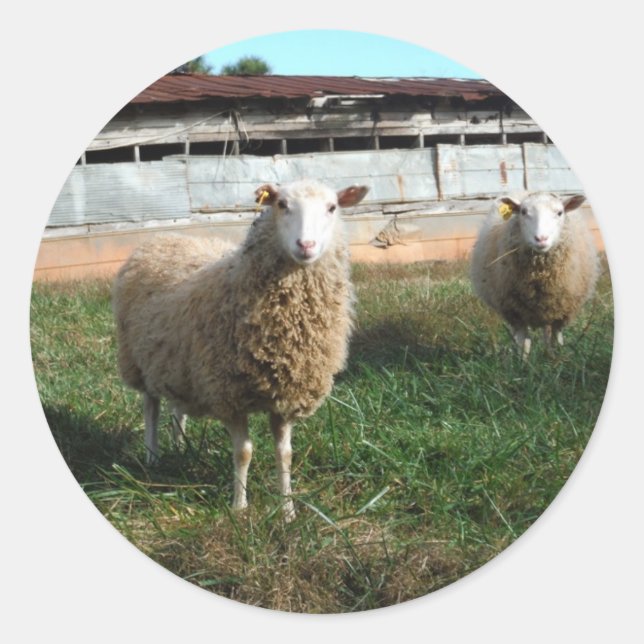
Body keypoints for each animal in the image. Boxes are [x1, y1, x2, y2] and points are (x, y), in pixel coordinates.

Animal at [112, 179, 369, 520]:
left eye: (332, 208)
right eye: (281, 204)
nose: (306, 245)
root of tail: (162, 238)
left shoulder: (286, 397)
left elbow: (285, 454)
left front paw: (288, 511)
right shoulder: (229, 394)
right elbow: (244, 452)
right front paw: (239, 509)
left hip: (180, 364)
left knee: (177, 408)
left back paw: (179, 447)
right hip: (139, 362)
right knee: (151, 408)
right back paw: (152, 459)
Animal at [470, 192, 599, 359]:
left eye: (559, 212)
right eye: (523, 212)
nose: (541, 239)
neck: (539, 276)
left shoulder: (562, 311)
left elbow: (556, 338)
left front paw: (556, 360)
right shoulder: (516, 313)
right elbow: (524, 344)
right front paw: (523, 363)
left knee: (547, 333)